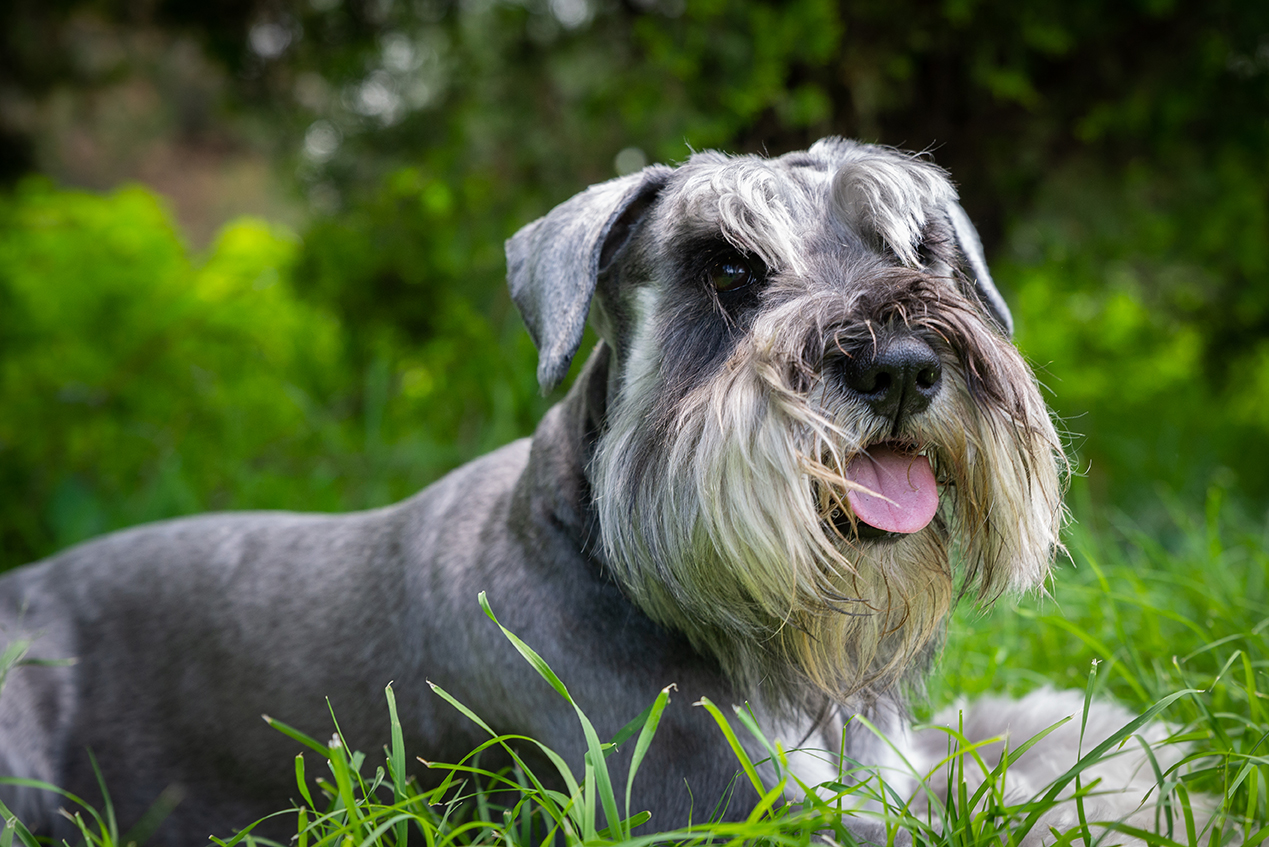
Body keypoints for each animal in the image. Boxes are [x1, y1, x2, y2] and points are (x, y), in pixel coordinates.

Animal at [0, 139, 1182, 843]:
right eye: (728, 266)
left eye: (916, 245)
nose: (899, 366)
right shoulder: (719, 807)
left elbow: (994, 748)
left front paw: (1130, 752)